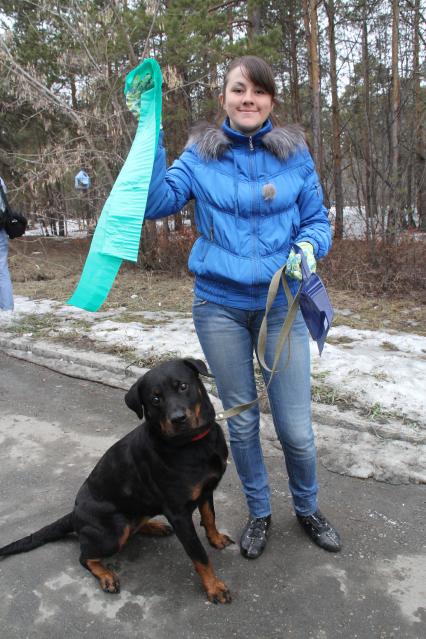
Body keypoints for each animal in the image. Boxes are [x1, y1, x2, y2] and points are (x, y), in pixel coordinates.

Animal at [0, 360, 233, 604]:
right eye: (155, 399)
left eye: (183, 386)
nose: (178, 418)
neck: (193, 443)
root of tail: (73, 514)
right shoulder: (179, 513)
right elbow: (199, 555)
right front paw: (214, 587)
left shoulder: (206, 490)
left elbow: (210, 517)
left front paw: (216, 539)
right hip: (113, 533)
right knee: (85, 557)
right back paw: (106, 575)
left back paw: (153, 526)